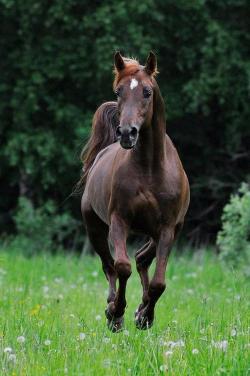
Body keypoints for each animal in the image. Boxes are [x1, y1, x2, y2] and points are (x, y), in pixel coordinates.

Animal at [80, 52, 189, 332]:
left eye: (147, 92)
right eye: (118, 91)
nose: (127, 133)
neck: (150, 169)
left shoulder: (167, 228)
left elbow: (159, 281)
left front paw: (144, 316)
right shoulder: (119, 221)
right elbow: (122, 266)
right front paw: (117, 313)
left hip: (168, 230)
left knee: (142, 259)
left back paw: (142, 307)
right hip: (94, 227)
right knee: (109, 266)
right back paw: (112, 306)